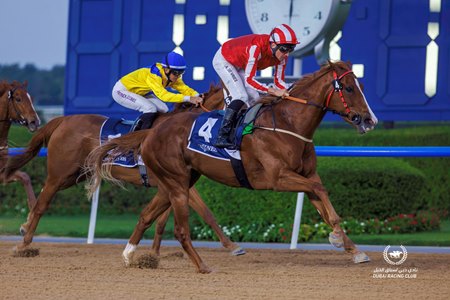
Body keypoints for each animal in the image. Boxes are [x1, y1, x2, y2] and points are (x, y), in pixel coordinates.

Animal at [0, 79, 40, 211]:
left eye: (31, 98)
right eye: (18, 99)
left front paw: (33, 206)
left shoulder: (3, 173)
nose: (35, 122)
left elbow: (25, 176)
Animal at [86, 59, 378, 274]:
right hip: (176, 183)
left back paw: (130, 256)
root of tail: (151, 132)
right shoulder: (278, 178)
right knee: (180, 229)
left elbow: (325, 205)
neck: (287, 124)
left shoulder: (306, 175)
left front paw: (354, 250)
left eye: (361, 85)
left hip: (175, 182)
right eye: (348, 88)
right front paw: (338, 239)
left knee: (146, 215)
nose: (369, 120)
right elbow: (321, 191)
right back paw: (202, 266)